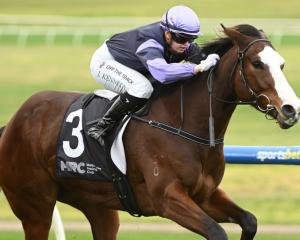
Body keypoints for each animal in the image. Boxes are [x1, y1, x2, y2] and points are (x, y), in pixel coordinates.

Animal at [0, 24, 300, 240]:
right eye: (257, 63)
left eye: (282, 64)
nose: (291, 109)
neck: (182, 124)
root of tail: (11, 124)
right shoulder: (167, 198)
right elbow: (217, 232)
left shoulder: (205, 195)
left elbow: (249, 221)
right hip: (35, 208)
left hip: (97, 206)